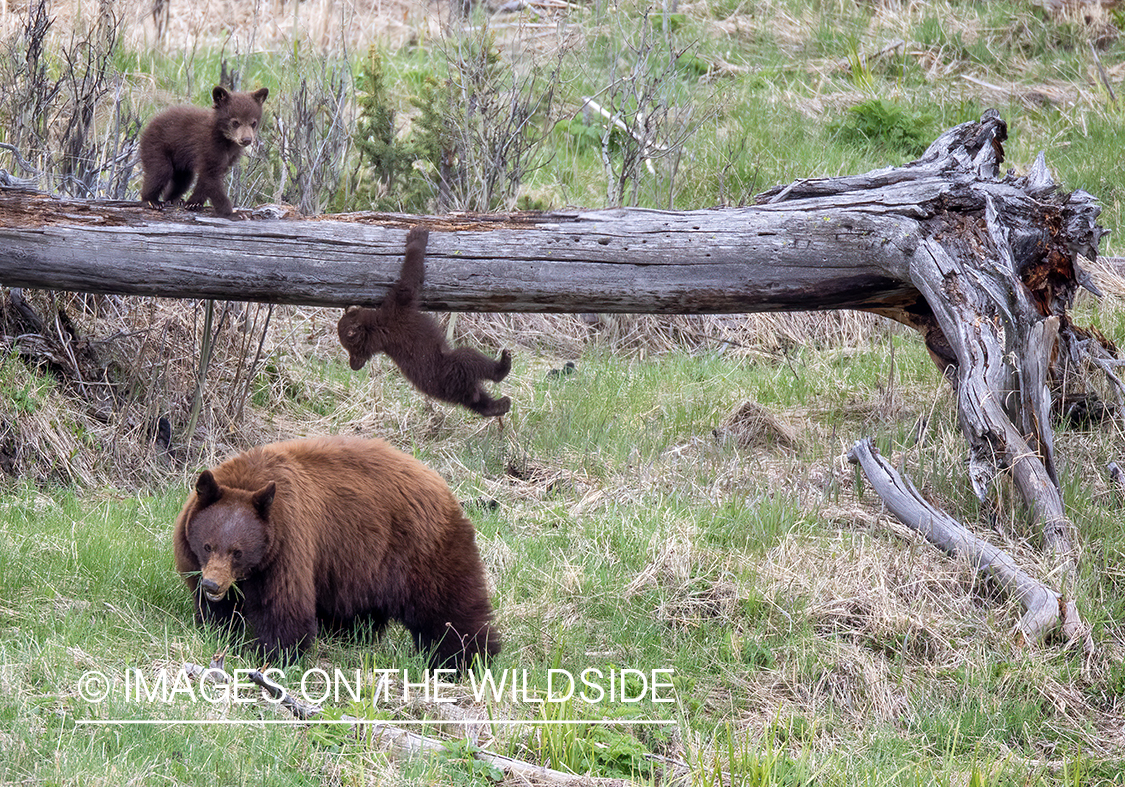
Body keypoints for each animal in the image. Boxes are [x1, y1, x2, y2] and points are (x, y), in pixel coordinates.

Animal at [169, 433, 497, 665]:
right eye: (207, 545)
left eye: (237, 552)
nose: (213, 585)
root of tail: (442, 485)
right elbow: (219, 611)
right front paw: (219, 632)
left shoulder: (289, 543)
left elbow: (285, 605)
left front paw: (271, 654)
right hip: (361, 564)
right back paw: (352, 637)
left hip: (421, 548)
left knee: (449, 606)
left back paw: (466, 658)